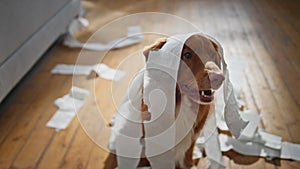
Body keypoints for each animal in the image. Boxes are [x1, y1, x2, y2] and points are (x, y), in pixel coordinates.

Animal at [142, 33, 224, 168]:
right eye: (187, 55)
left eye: (213, 54)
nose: (219, 77)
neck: (180, 103)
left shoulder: (192, 137)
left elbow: (187, 157)